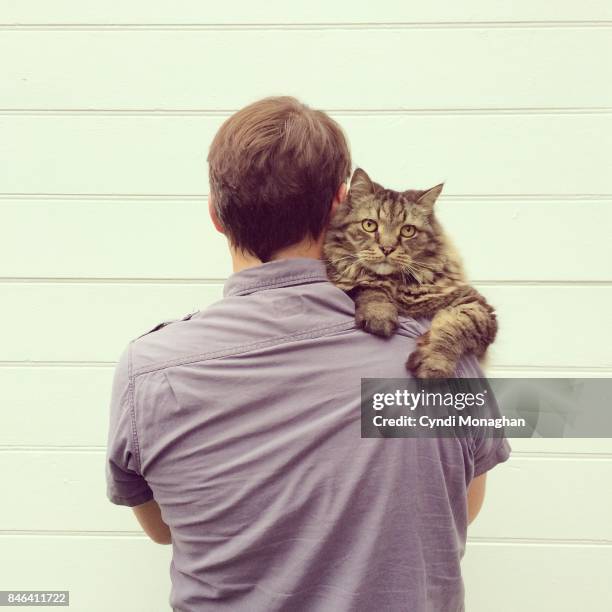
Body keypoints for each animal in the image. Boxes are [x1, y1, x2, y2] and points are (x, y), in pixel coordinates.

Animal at [326, 167, 498, 378]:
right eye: (369, 225)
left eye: (408, 230)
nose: (387, 248)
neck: (396, 284)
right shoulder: (346, 281)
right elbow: (369, 287)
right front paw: (379, 316)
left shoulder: (474, 305)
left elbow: (452, 330)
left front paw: (433, 365)